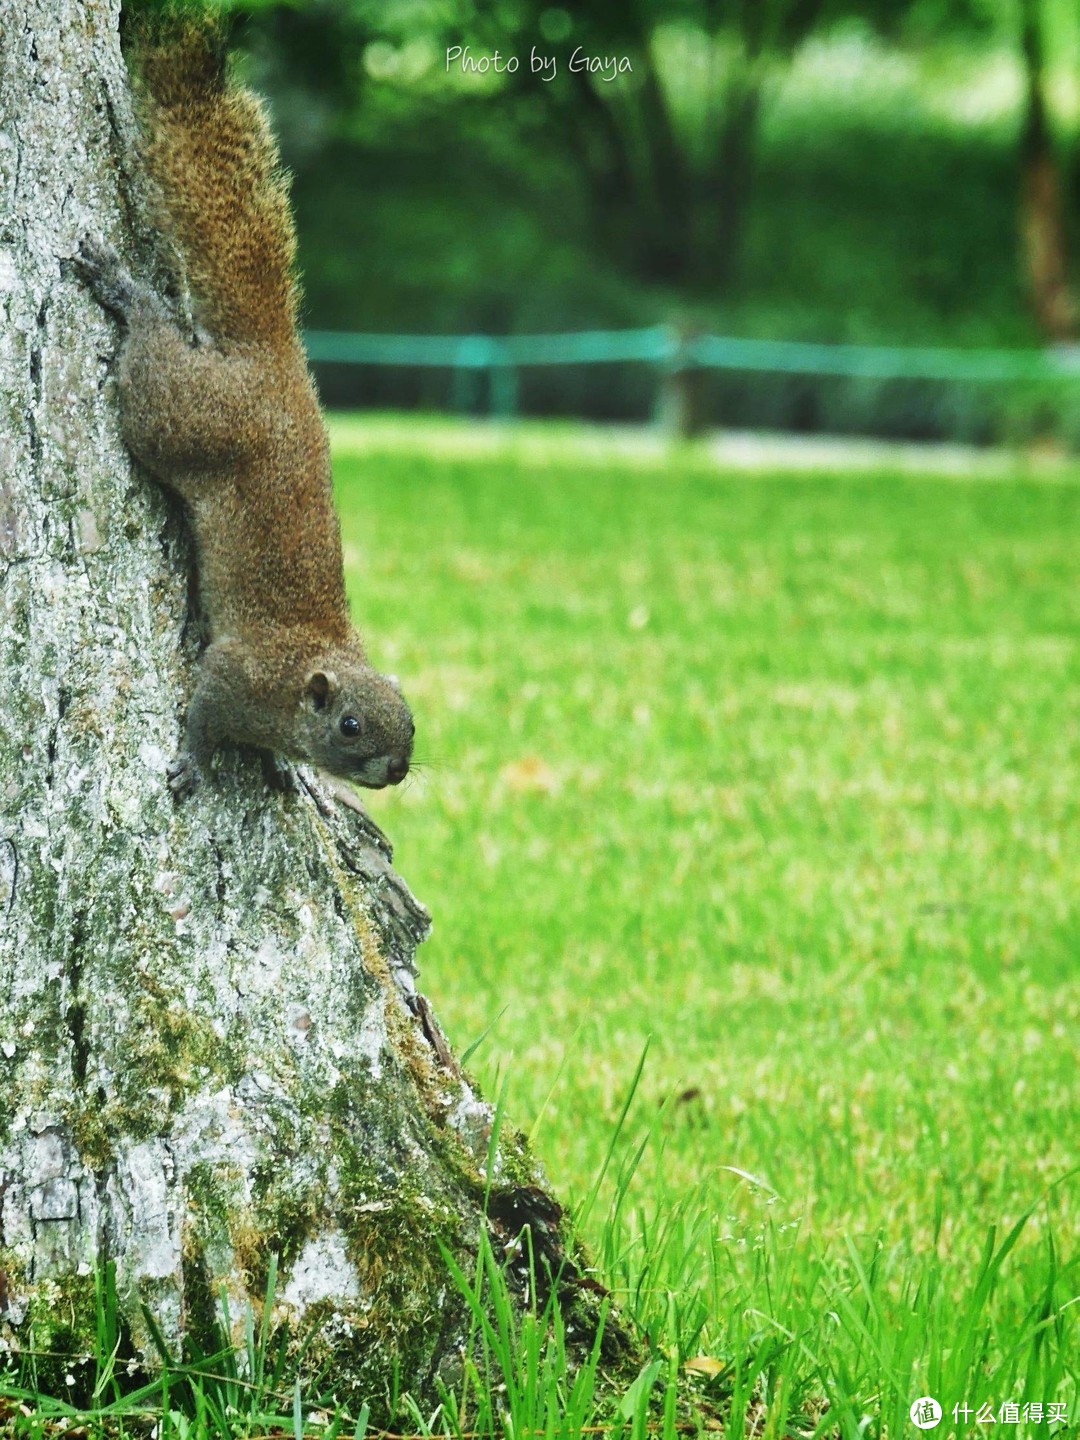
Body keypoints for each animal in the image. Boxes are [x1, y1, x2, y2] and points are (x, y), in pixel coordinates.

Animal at [70, 16, 408, 800]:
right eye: (351, 726)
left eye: (411, 724)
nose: (399, 770)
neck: (305, 669)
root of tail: (275, 358)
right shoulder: (238, 676)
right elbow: (202, 713)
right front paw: (196, 762)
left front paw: (280, 766)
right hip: (182, 414)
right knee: (152, 355)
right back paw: (127, 292)